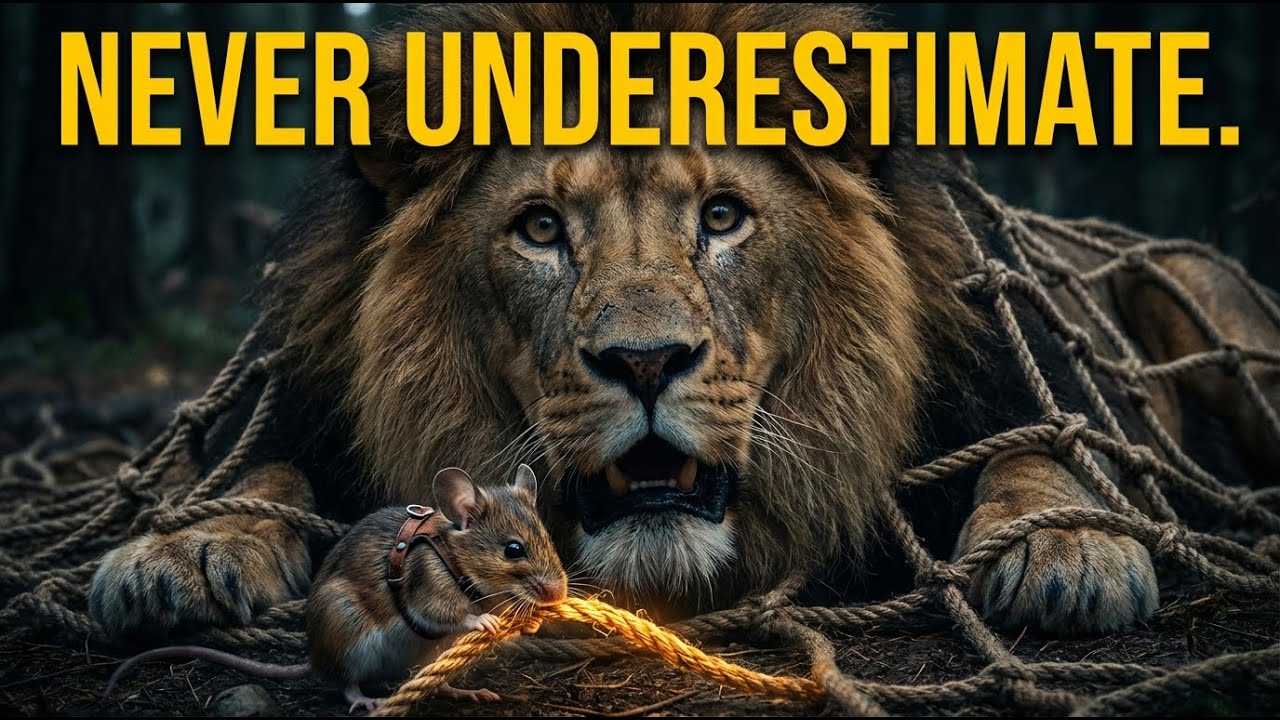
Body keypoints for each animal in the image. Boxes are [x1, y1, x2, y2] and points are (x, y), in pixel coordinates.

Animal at [90, 3, 1279, 639]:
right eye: (539, 229)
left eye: (720, 217)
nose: (647, 361)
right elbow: (265, 465)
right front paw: (188, 543)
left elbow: (1038, 454)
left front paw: (1069, 543)